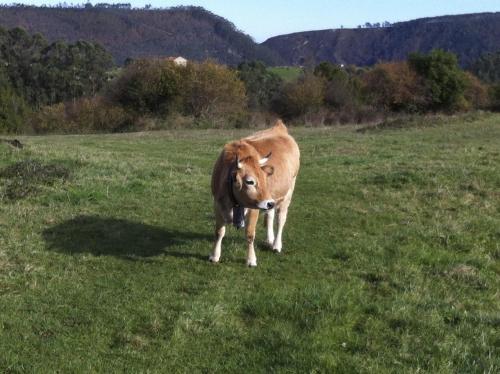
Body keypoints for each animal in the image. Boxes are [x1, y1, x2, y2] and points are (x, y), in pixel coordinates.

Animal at [208, 120, 298, 266]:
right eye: (250, 181)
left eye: (265, 178)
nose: (268, 203)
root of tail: (279, 128)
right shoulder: (217, 203)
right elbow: (219, 232)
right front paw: (214, 255)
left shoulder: (254, 208)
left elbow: (250, 234)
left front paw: (251, 259)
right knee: (270, 215)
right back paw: (270, 239)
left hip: (287, 193)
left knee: (280, 219)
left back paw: (276, 245)